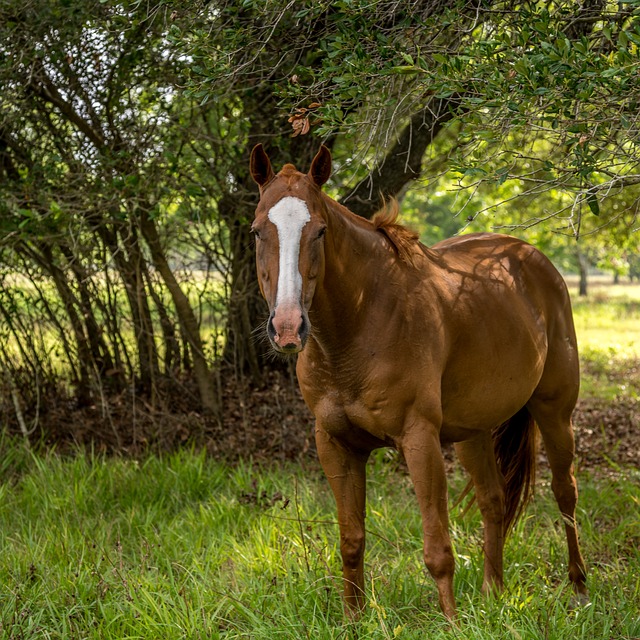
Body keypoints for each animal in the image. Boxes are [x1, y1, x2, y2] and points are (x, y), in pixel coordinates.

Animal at [248, 145, 588, 620]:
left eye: (319, 231)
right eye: (258, 231)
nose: (287, 327)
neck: (360, 322)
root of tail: (533, 260)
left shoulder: (419, 440)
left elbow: (437, 550)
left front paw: (452, 622)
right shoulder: (335, 444)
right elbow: (351, 542)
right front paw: (353, 620)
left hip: (555, 413)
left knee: (565, 493)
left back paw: (578, 587)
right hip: (473, 433)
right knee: (494, 502)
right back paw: (493, 592)